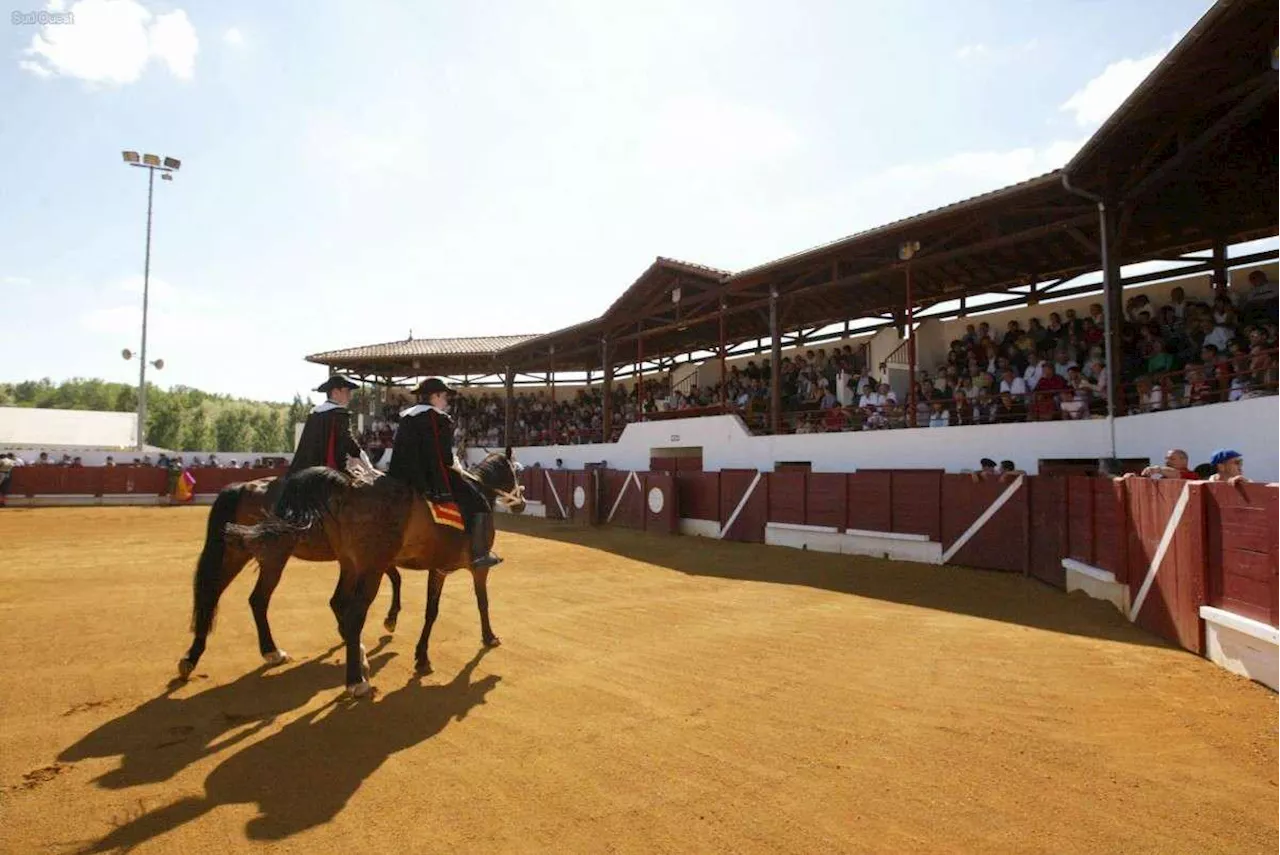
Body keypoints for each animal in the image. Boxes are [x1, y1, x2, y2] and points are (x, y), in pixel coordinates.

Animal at [177, 473, 401, 680]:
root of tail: (243, 488)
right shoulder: (371, 558)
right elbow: (395, 577)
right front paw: (389, 620)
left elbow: (389, 578)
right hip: (273, 558)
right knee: (258, 599)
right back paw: (272, 652)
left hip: (236, 554)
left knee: (212, 593)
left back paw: (191, 658)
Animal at [226, 450, 524, 696]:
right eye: (514, 472)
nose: (521, 504)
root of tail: (347, 487)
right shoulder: (477, 568)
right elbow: (481, 602)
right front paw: (489, 636)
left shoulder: (437, 569)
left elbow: (431, 611)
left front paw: (421, 656)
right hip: (346, 566)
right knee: (347, 612)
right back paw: (354, 679)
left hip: (350, 564)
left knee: (337, 603)